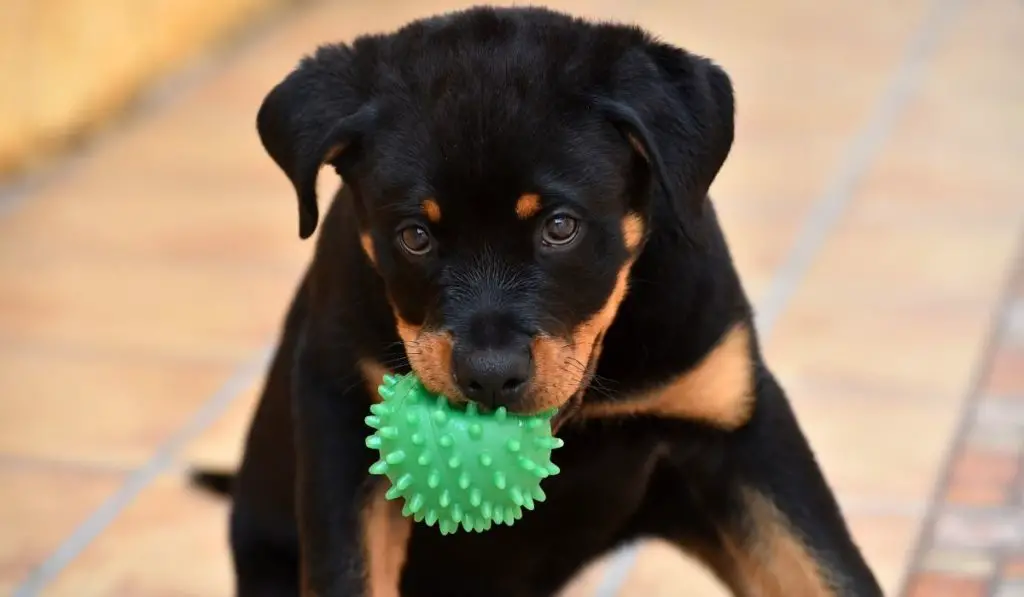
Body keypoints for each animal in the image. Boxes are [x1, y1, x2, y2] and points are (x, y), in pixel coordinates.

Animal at [195, 5, 884, 597]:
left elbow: (828, 570)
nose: (489, 376)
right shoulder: (338, 414)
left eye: (560, 227)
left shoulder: (736, 421)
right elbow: (348, 574)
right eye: (414, 236)